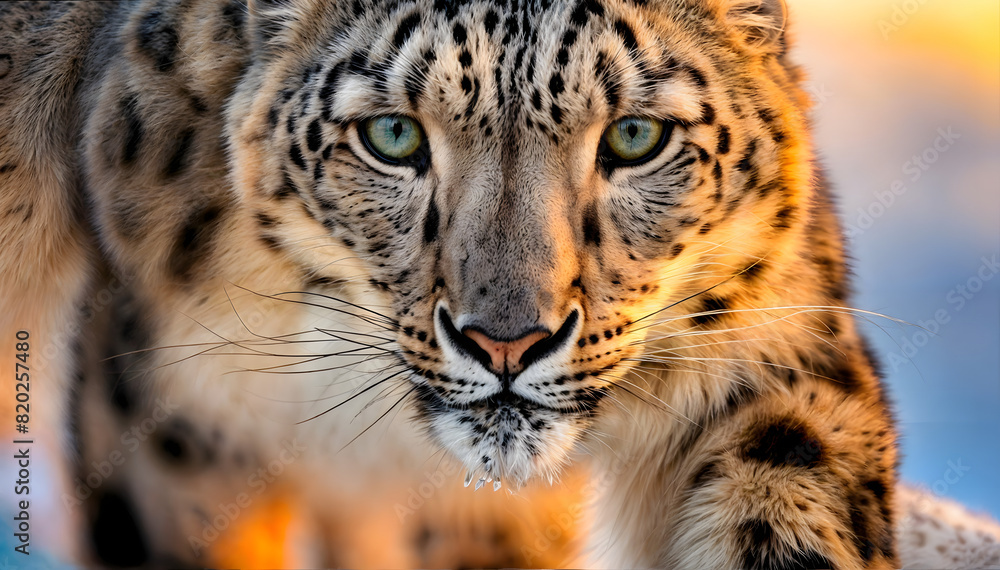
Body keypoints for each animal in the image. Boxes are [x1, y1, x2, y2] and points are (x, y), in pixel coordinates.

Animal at [1, 0, 998, 567]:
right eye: (393, 135)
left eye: (635, 136)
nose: (507, 342)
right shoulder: (176, 399)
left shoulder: (775, 332)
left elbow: (785, 497)